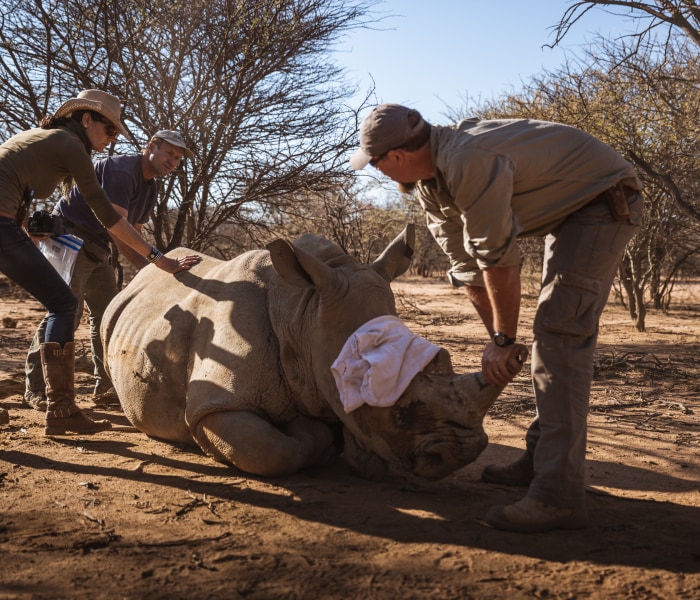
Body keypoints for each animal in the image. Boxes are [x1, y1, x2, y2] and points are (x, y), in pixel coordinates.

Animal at [101, 226, 524, 482]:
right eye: (366, 381)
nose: (459, 455)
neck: (303, 312)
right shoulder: (215, 404)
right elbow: (270, 451)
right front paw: (318, 437)